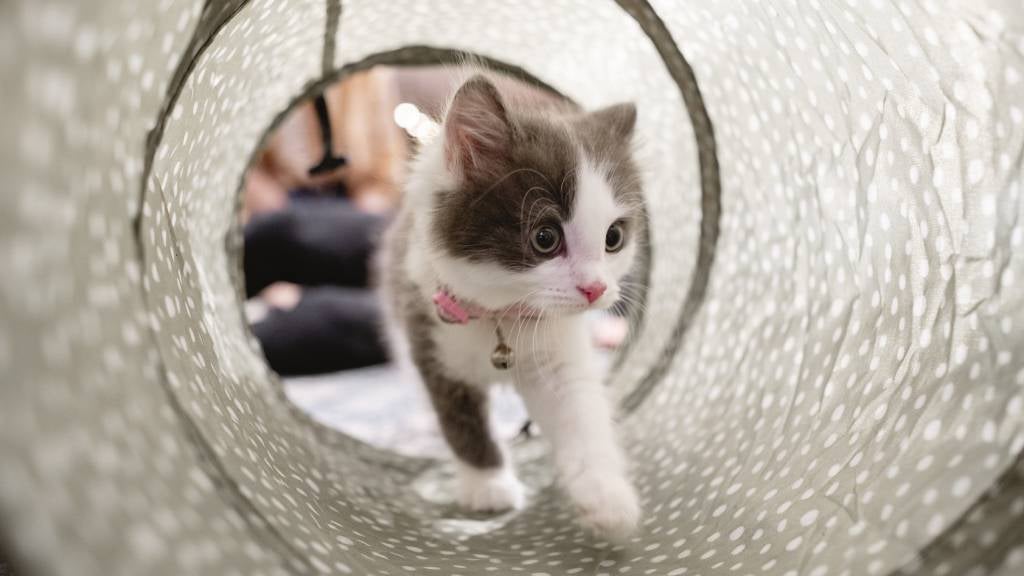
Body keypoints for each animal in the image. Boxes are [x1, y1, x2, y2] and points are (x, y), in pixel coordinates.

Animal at [380, 73, 643, 541]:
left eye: (613, 238)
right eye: (545, 238)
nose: (596, 289)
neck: (501, 317)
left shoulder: (559, 354)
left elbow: (581, 414)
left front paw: (606, 496)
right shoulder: (433, 343)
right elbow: (462, 423)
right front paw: (488, 487)